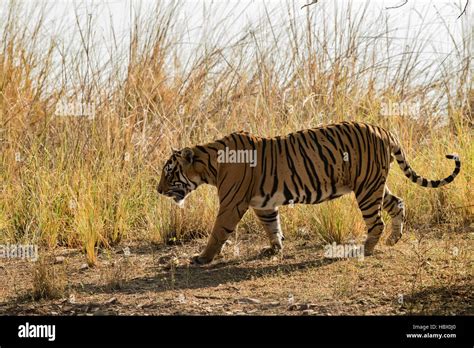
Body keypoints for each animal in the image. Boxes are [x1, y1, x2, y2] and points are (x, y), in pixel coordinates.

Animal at [157, 121, 462, 266]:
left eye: (169, 173)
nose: (158, 190)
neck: (210, 164)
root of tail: (383, 129)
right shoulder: (262, 203)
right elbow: (272, 226)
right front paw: (274, 248)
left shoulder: (231, 204)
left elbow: (218, 232)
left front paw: (202, 258)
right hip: (375, 184)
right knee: (397, 203)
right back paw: (394, 240)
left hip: (366, 189)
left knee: (377, 222)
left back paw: (365, 249)